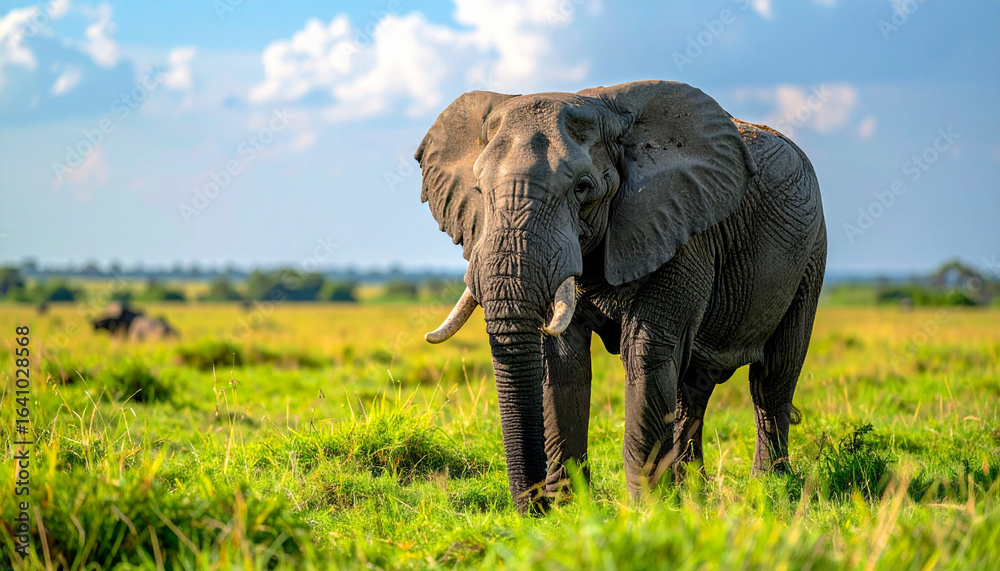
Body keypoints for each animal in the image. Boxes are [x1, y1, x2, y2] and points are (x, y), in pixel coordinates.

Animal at [415, 81, 826, 513]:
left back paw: (768, 487)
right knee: (692, 389)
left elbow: (647, 350)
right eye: (479, 189)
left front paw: (647, 509)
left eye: (583, 189)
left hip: (811, 255)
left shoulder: (681, 229)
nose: (532, 511)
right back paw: (692, 493)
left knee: (771, 379)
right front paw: (571, 509)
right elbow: (563, 360)